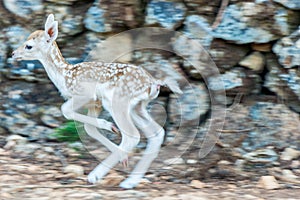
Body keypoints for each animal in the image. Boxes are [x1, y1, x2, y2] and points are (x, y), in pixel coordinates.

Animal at [11, 14, 182, 189]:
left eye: (29, 46)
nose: (12, 53)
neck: (65, 76)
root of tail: (153, 83)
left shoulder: (85, 95)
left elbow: (66, 110)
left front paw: (109, 129)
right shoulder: (95, 105)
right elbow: (89, 128)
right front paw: (117, 146)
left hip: (118, 102)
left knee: (133, 135)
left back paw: (95, 175)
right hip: (137, 107)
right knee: (157, 133)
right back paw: (130, 181)